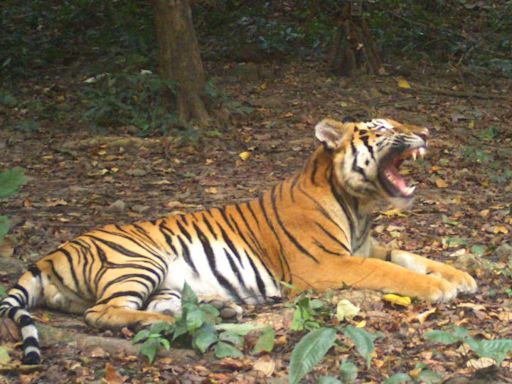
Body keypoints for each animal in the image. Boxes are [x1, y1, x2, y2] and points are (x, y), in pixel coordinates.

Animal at [0, 117, 476, 364]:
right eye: (382, 128)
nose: (427, 133)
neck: (359, 207)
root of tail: (53, 252)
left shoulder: (366, 247)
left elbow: (408, 255)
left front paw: (462, 276)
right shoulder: (328, 264)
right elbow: (392, 271)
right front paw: (440, 288)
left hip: (165, 283)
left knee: (159, 310)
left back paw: (222, 309)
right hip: (139, 260)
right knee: (101, 314)